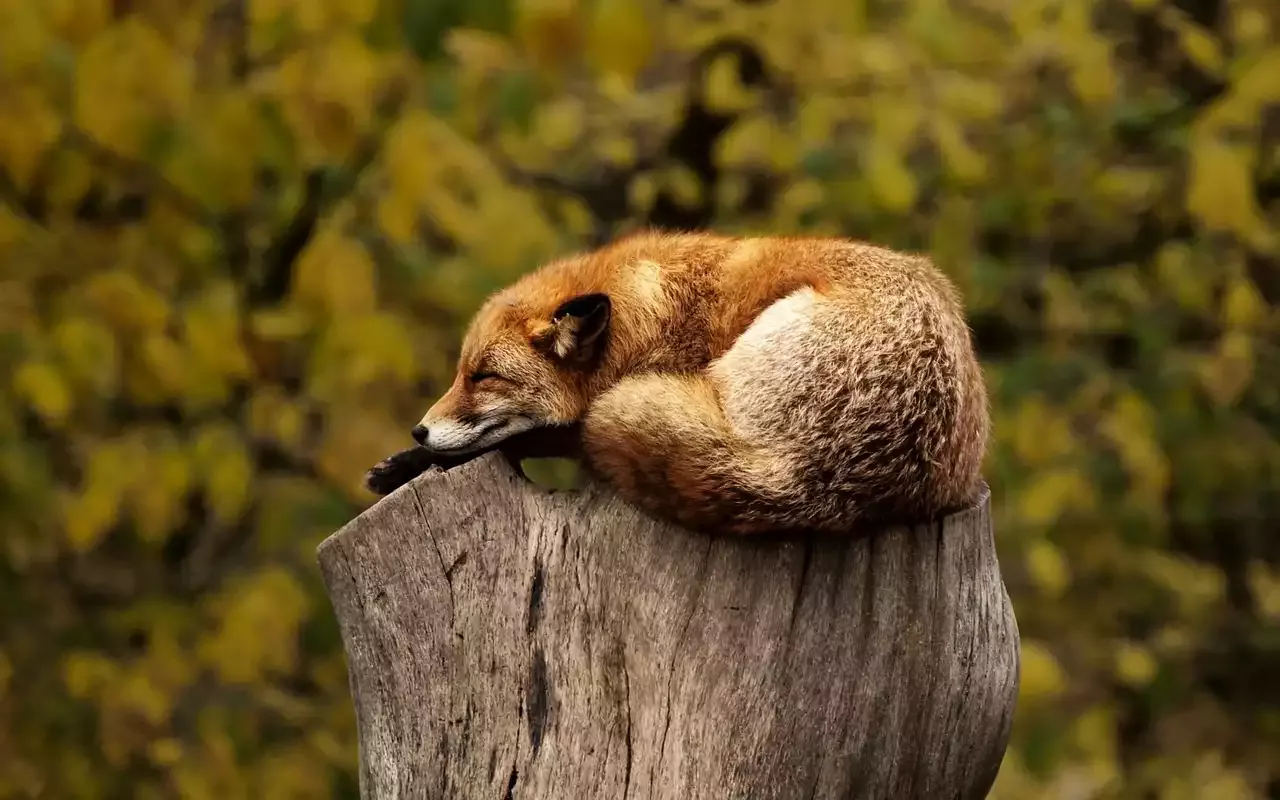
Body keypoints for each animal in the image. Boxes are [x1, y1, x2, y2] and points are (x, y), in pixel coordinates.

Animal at [366, 227, 993, 532]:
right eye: (460, 373)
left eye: (485, 377)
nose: (419, 430)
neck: (648, 313)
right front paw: (405, 461)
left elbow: (542, 435)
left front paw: (414, 460)